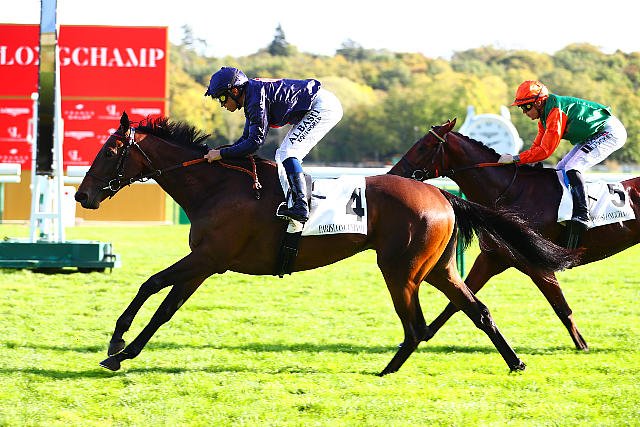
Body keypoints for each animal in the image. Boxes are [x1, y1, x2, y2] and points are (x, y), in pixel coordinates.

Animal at [75, 112, 577, 375]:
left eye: (108, 152)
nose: (82, 195)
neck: (216, 186)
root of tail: (443, 195)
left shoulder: (207, 258)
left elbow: (151, 289)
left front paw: (117, 344)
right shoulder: (205, 263)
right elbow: (163, 305)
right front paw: (122, 352)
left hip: (401, 270)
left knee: (416, 325)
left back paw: (387, 370)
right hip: (438, 269)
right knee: (477, 309)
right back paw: (515, 362)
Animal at [388, 118, 640, 351]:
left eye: (424, 147)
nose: (394, 174)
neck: (511, 192)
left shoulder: (537, 263)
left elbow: (561, 307)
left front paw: (582, 345)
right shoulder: (491, 257)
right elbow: (458, 301)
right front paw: (421, 336)